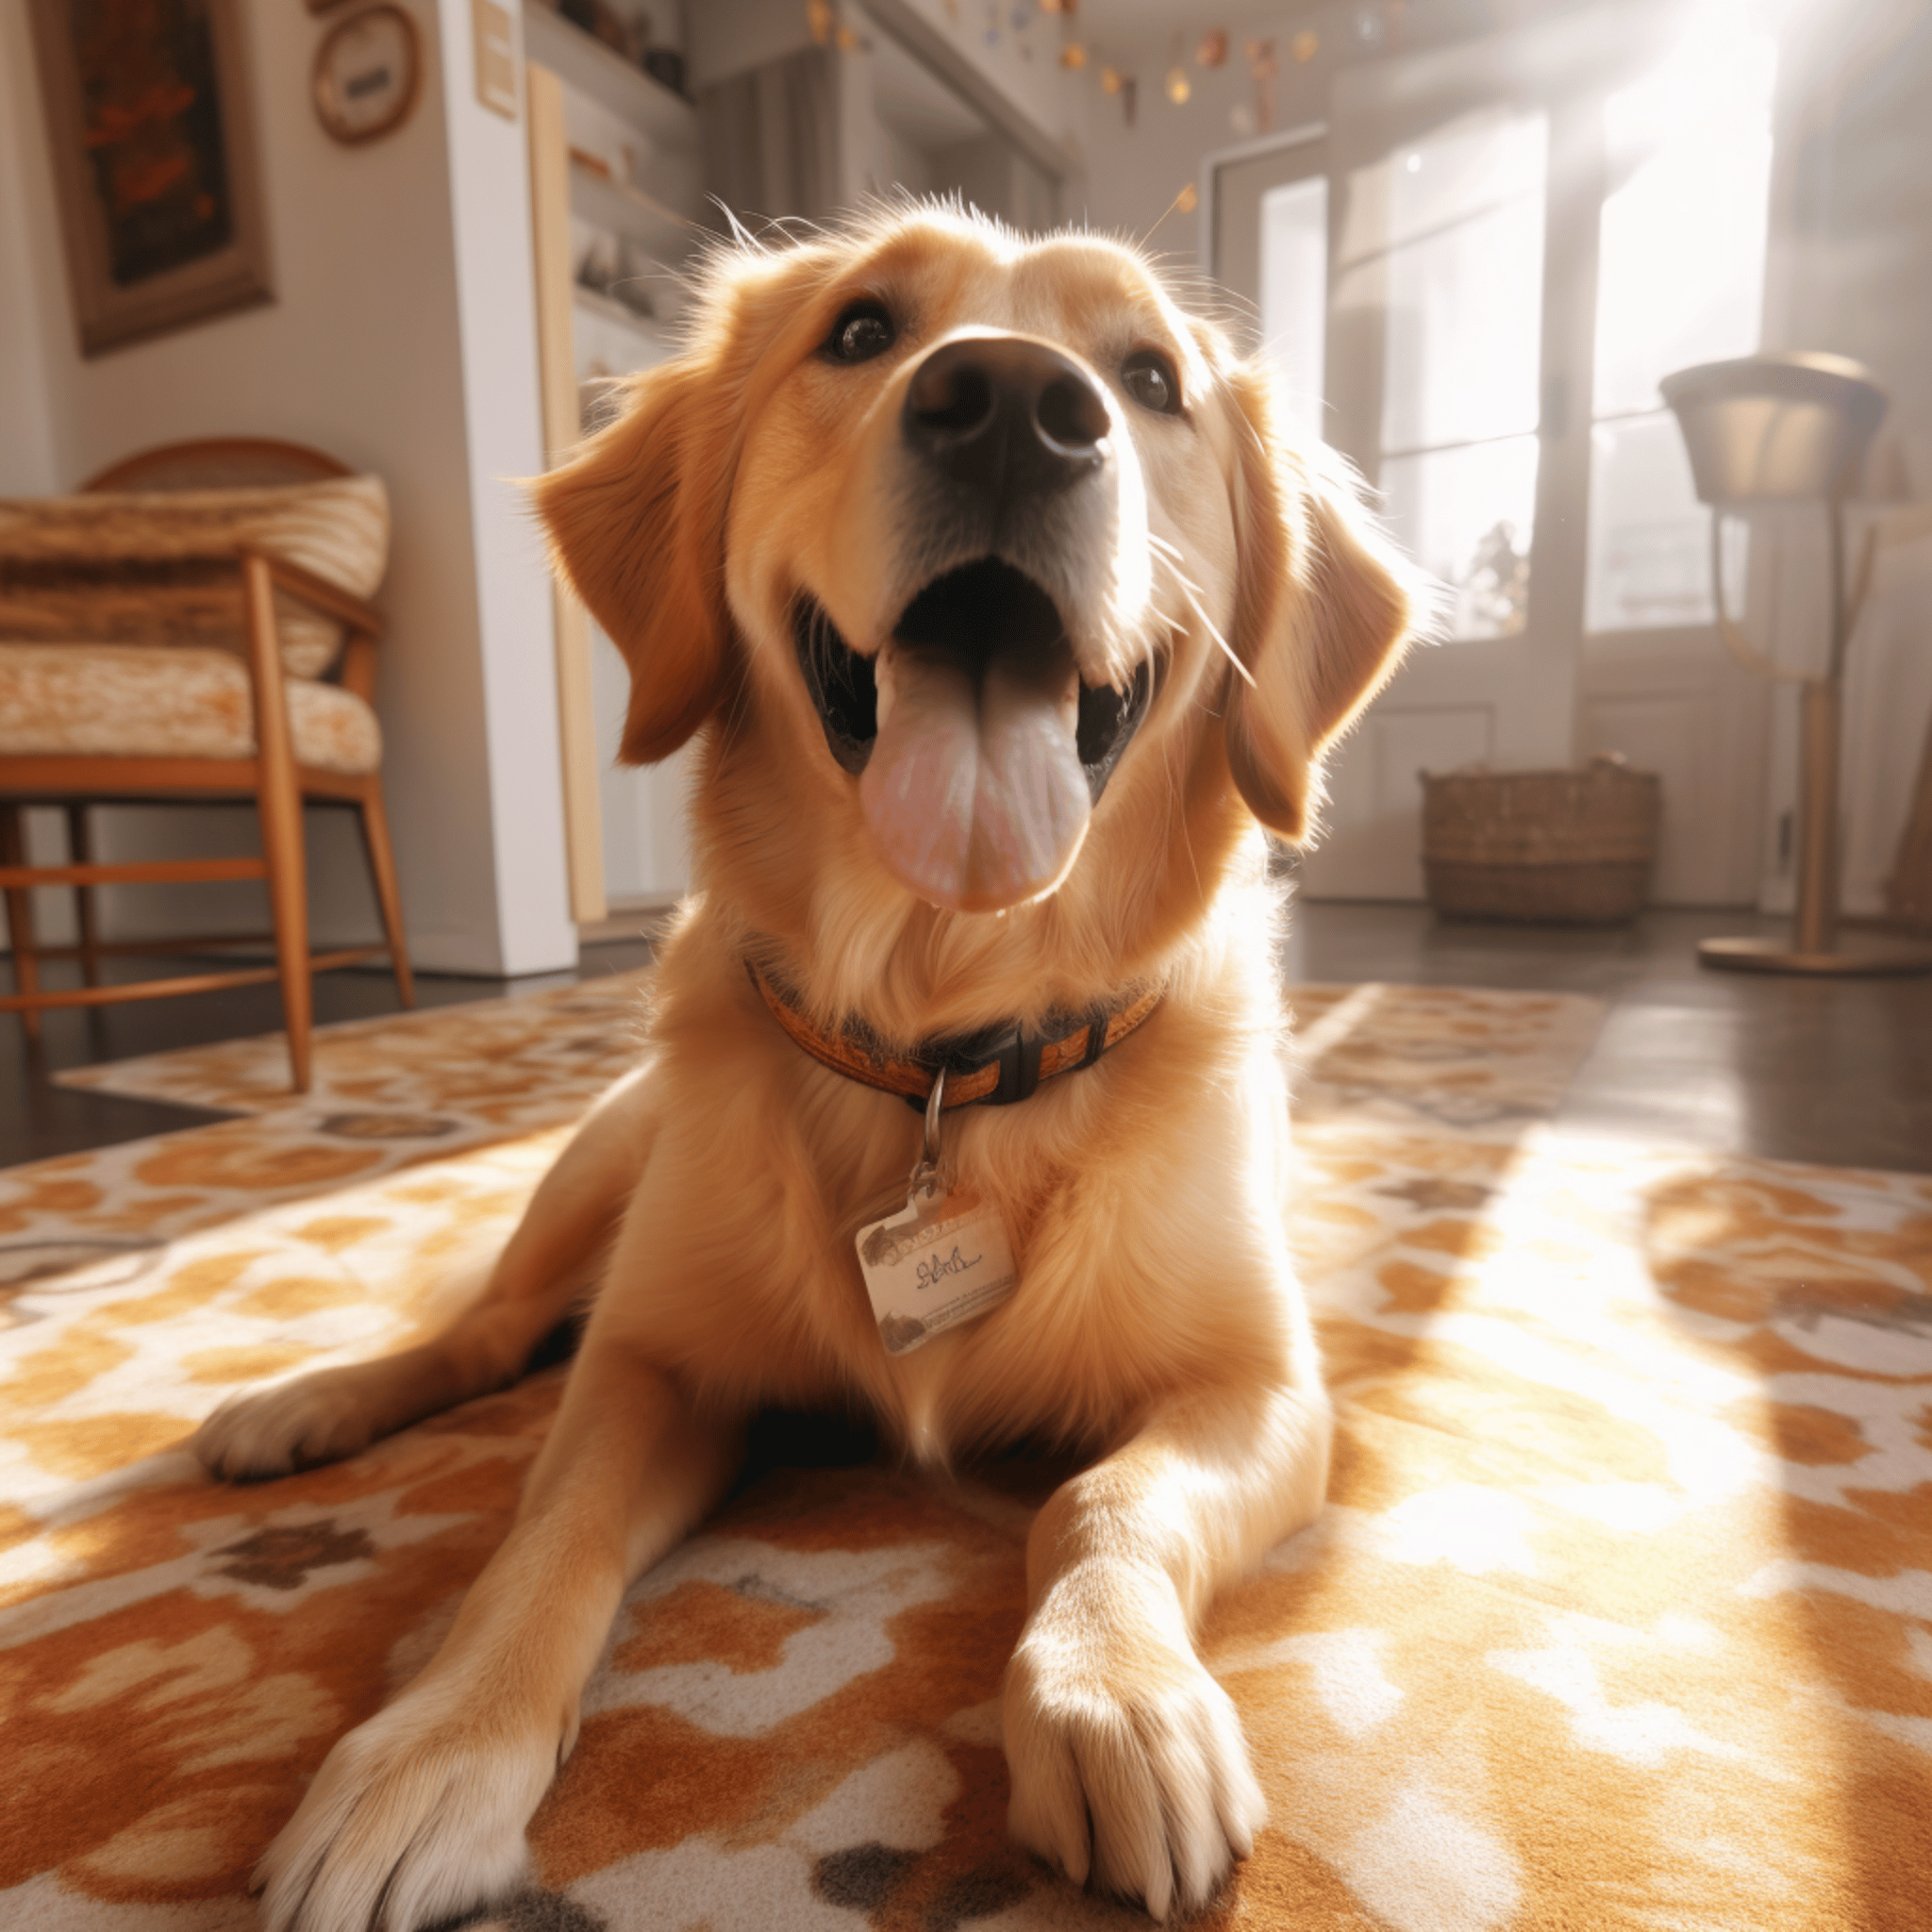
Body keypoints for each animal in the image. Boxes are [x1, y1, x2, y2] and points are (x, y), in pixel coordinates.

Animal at [195, 199, 1422, 1932]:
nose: (1013, 407)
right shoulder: (648, 1361)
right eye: (859, 330)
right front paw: (434, 1746)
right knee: (482, 1333)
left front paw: (1112, 1693)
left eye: (1149, 377)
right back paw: (304, 1403)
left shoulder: (1263, 1390)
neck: (940, 1042)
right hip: (595, 1174)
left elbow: (1100, 1502)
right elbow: (542, 1534)